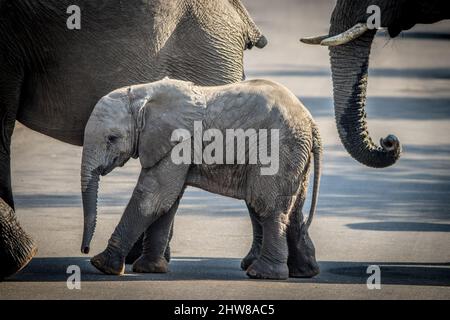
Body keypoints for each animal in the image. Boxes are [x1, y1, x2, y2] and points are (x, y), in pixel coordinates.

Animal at [80, 78, 320, 280]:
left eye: (112, 138)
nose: (85, 249)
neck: (143, 94)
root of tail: (311, 122)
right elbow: (167, 201)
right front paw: (150, 269)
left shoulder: (178, 142)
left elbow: (153, 197)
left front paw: (102, 265)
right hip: (296, 153)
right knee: (293, 209)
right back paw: (304, 272)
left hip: (279, 149)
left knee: (268, 206)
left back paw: (262, 274)